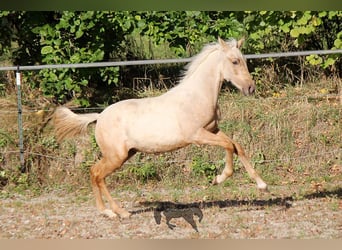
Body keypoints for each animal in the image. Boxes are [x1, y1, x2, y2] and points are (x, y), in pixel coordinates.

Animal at [54, 37, 268, 219]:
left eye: (244, 60)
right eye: (234, 61)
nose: (250, 88)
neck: (197, 96)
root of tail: (99, 117)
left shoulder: (213, 130)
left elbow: (237, 146)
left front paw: (262, 185)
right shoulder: (197, 135)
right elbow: (228, 146)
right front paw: (218, 179)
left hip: (125, 154)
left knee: (95, 173)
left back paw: (110, 211)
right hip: (116, 157)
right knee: (97, 174)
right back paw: (116, 212)